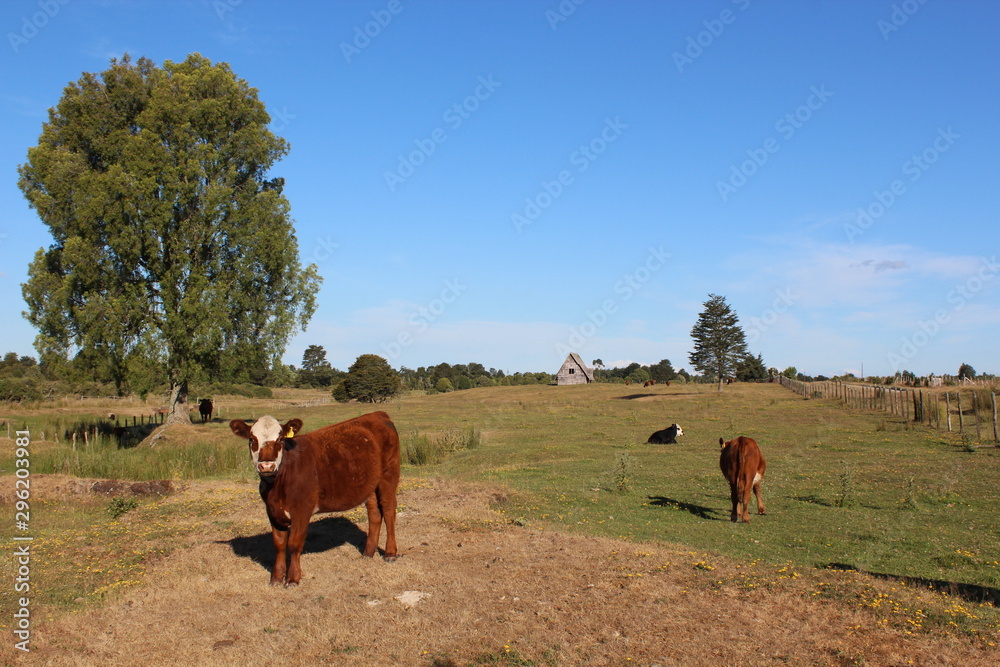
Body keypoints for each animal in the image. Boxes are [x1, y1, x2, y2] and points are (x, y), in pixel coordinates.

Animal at [230, 412, 400, 586]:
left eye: (280, 439)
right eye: (252, 439)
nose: (266, 466)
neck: (277, 486)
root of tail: (377, 414)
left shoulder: (302, 510)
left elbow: (294, 543)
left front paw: (293, 578)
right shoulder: (272, 511)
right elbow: (279, 544)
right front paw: (276, 578)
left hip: (389, 474)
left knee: (388, 511)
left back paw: (390, 553)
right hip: (369, 485)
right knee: (374, 514)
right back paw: (368, 552)